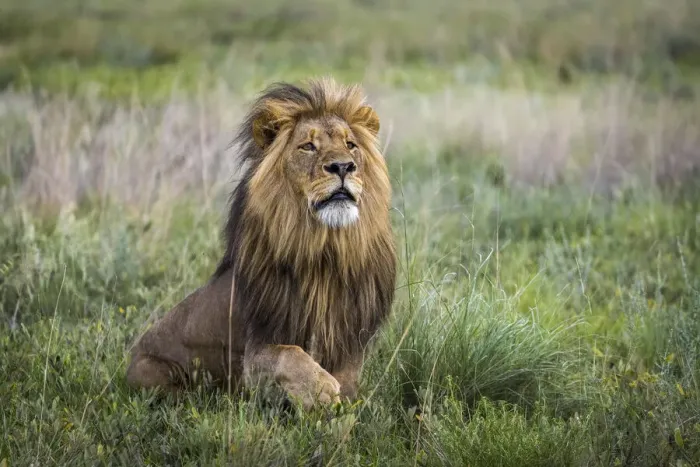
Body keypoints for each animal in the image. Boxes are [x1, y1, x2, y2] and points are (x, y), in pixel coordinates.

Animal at [125, 77, 397, 410]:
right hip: (152, 371)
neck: (324, 250)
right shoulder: (254, 356)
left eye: (351, 145)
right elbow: (289, 354)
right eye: (308, 146)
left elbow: (346, 383)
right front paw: (320, 390)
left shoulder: (348, 343)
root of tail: (131, 356)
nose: (344, 167)